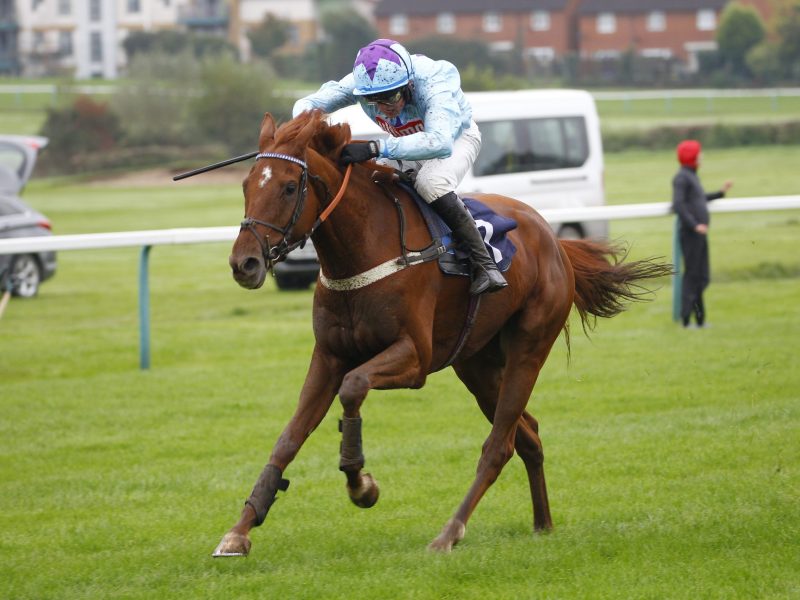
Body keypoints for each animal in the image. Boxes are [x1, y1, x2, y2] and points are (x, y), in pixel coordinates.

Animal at [212, 110, 668, 556]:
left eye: (290, 187)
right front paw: (239, 530)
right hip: (477, 365)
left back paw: (450, 532)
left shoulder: (414, 358)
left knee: (499, 445)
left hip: (529, 346)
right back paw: (543, 523)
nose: (244, 263)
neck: (364, 249)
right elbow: (289, 438)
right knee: (528, 435)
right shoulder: (328, 356)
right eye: (247, 185)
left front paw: (361, 484)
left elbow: (353, 387)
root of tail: (555, 241)